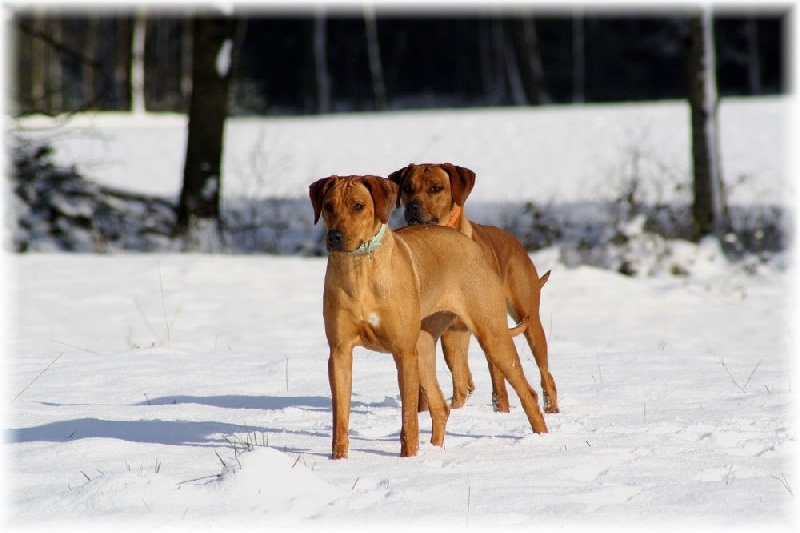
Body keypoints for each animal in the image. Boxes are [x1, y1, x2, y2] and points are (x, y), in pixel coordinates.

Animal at [310, 175, 548, 458]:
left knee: (528, 392)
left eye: (358, 206)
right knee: (440, 406)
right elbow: (340, 419)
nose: (334, 236)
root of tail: (472, 242)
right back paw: (435, 449)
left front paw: (408, 458)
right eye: (328, 206)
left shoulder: (403, 352)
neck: (360, 270)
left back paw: (543, 439)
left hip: (492, 336)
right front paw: (338, 460)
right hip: (425, 345)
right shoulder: (339, 352)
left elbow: (409, 420)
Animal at [390, 161, 560, 412]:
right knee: (464, 381)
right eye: (407, 188)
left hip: (527, 320)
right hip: (453, 336)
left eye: (436, 188)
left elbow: (499, 384)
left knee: (543, 371)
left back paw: (550, 408)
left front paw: (501, 411)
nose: (412, 207)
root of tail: (515, 242)